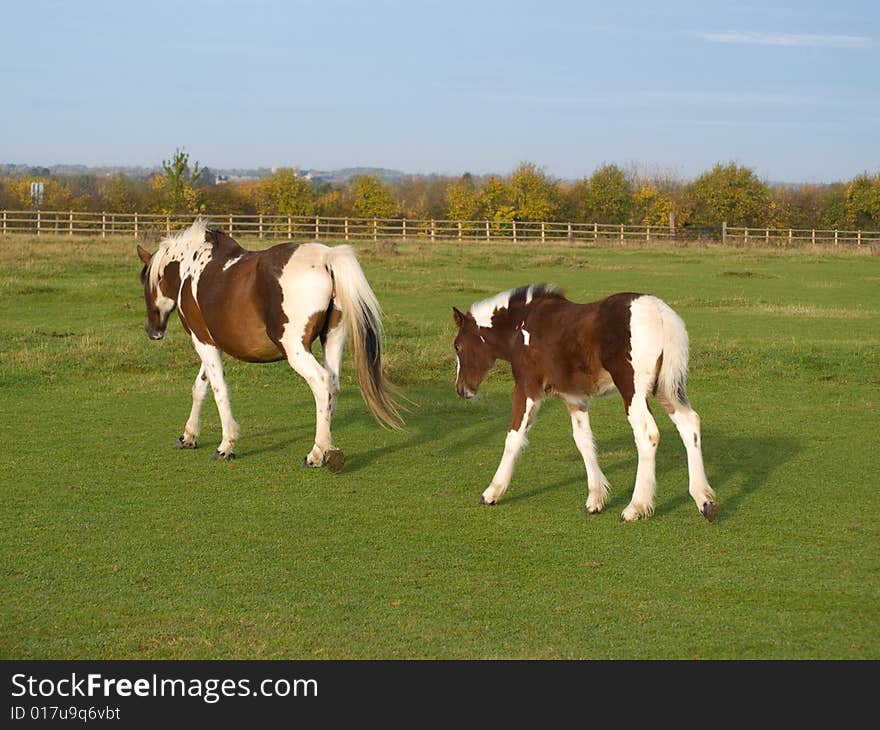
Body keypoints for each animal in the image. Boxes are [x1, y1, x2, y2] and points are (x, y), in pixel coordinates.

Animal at [137, 216, 402, 470]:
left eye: (146, 283)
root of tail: (326, 259)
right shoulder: (214, 343)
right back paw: (325, 449)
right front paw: (189, 436)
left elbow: (218, 389)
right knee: (333, 387)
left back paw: (316, 454)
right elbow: (200, 387)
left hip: (296, 350)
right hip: (333, 339)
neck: (192, 269)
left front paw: (226, 445)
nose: (152, 331)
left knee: (321, 382)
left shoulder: (202, 341)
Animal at [458, 282, 720, 516]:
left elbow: (514, 437)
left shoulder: (527, 388)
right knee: (690, 423)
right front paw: (596, 499)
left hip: (633, 390)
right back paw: (704, 501)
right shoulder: (574, 397)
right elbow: (583, 440)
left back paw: (635, 507)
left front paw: (492, 492)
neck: (523, 324)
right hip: (665, 388)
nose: (461, 390)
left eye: (457, 347)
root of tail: (661, 314)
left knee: (647, 434)